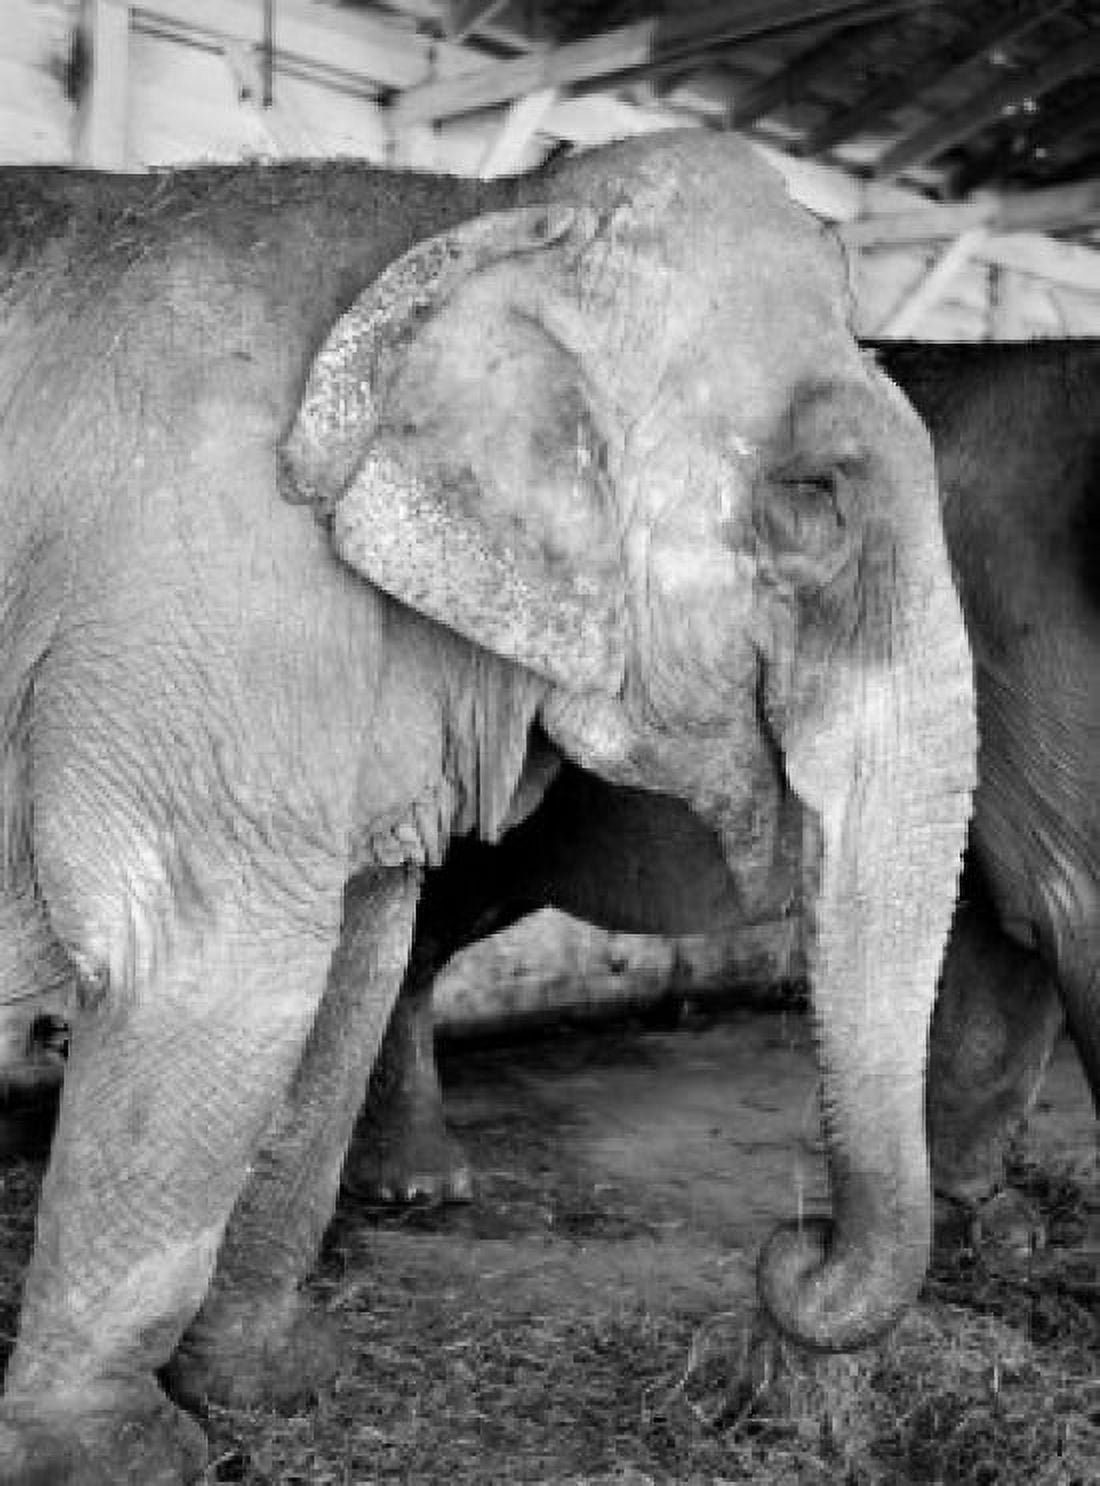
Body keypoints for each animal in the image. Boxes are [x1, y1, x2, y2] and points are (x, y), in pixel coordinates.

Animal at [0, 133, 975, 1483]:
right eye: (815, 491)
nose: (790, 1246)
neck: (490, 212)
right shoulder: (199, 608)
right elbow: (204, 969)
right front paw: (126, 1460)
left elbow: (351, 964)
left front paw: (274, 1384)